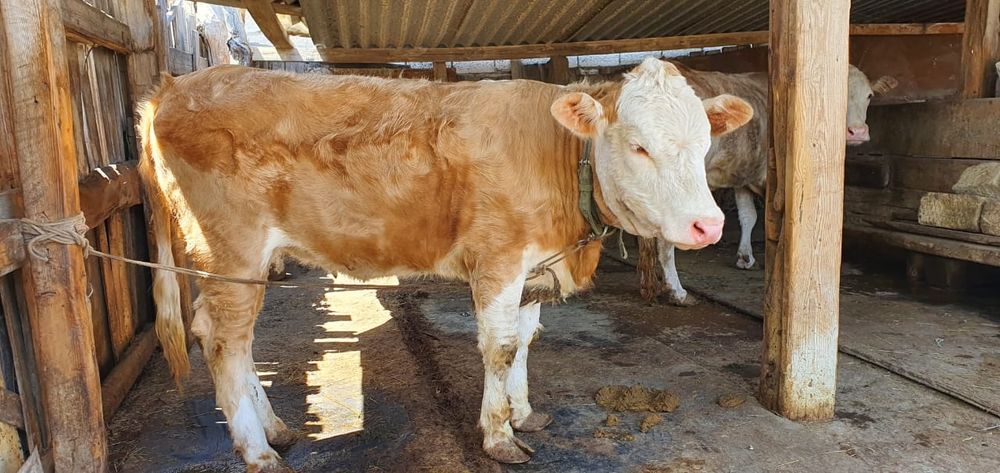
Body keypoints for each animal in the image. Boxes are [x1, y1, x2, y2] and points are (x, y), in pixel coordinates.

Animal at [139, 57, 753, 471]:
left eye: (705, 143)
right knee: (225, 340)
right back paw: (258, 450)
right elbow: (500, 347)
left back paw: (275, 428)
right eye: (638, 146)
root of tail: (176, 87)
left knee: (228, 337)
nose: (708, 226)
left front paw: (523, 412)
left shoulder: (533, 266)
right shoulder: (499, 259)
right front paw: (499, 437)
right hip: (233, 249)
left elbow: (526, 339)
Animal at [638, 63, 898, 305]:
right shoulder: (767, 179)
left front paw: (745, 257)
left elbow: (748, 216)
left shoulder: (742, 175)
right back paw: (677, 292)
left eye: (869, 96)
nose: (858, 132)